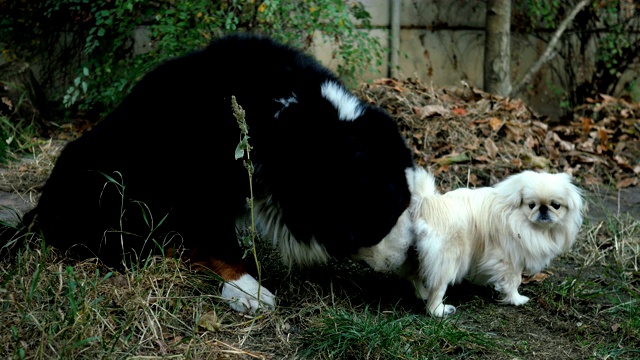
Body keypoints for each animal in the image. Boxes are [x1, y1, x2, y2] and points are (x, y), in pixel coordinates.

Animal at [8, 34, 416, 316]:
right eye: (383, 217)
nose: (410, 253)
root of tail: (38, 211)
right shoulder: (202, 178)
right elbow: (217, 238)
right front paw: (249, 290)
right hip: (107, 184)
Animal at [356, 167, 584, 316]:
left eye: (556, 205)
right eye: (531, 205)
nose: (544, 210)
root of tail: (426, 204)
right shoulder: (509, 260)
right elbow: (513, 281)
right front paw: (516, 299)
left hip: (414, 254)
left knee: (414, 276)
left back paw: (422, 294)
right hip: (448, 260)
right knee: (437, 290)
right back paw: (439, 310)